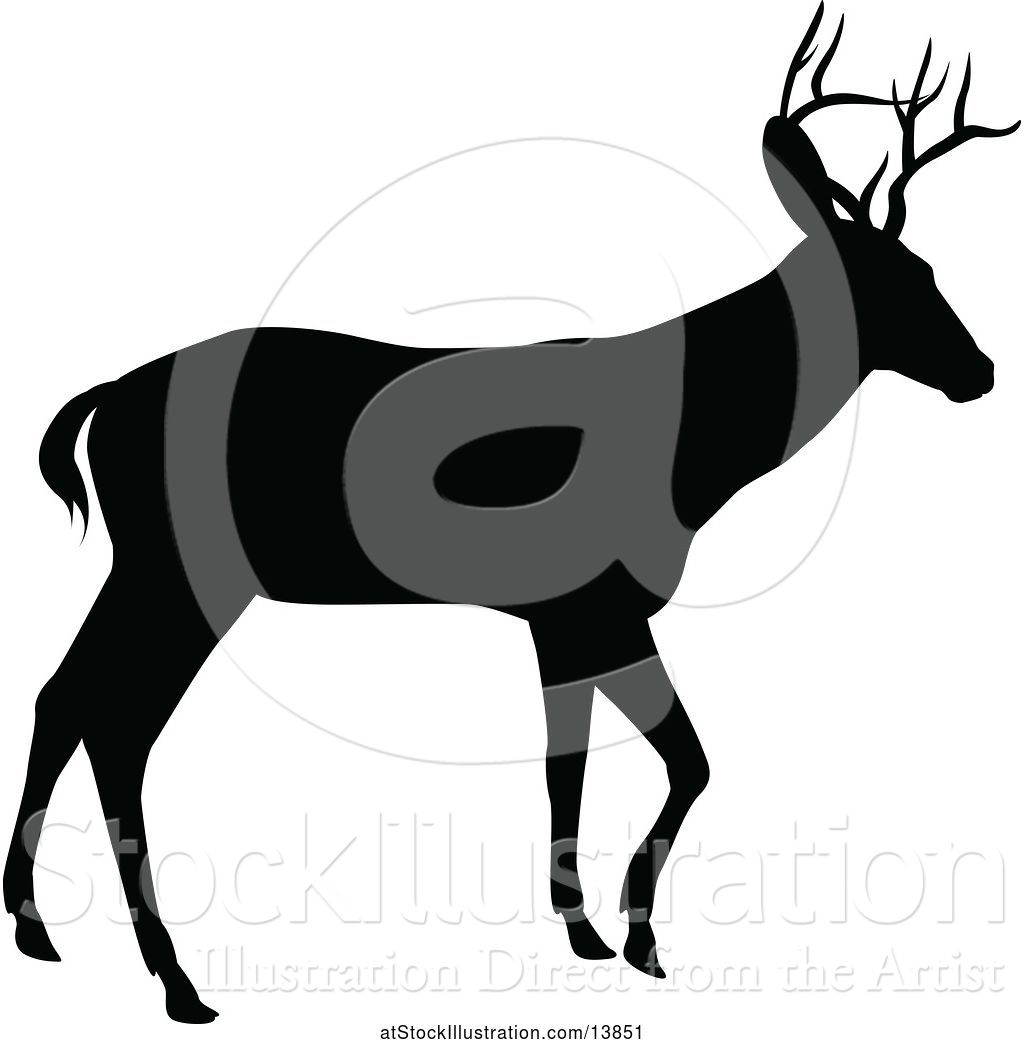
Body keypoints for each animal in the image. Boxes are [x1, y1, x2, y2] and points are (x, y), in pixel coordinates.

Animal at [4, 4, 1017, 1024]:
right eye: (906, 278)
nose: (979, 371)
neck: (691, 444)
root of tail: (101, 403)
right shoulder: (596, 602)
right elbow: (686, 760)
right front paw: (639, 938)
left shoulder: (562, 617)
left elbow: (567, 764)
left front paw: (586, 932)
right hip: (187, 569)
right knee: (119, 720)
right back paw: (177, 980)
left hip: (144, 566)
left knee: (65, 692)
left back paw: (38, 928)